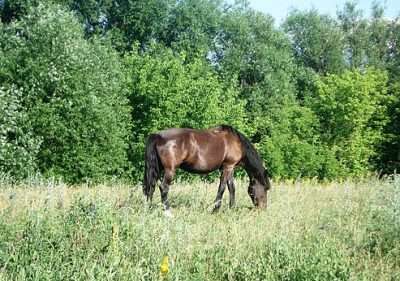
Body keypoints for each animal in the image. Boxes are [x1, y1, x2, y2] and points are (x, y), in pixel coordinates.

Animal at [142, 123, 270, 213]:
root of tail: (157, 136)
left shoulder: (229, 168)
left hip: (157, 168)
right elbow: (222, 188)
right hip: (169, 170)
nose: (263, 208)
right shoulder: (227, 167)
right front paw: (215, 209)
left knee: (151, 186)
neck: (237, 143)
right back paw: (168, 212)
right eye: (265, 188)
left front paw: (232, 208)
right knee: (163, 187)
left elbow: (232, 188)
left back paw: (149, 208)